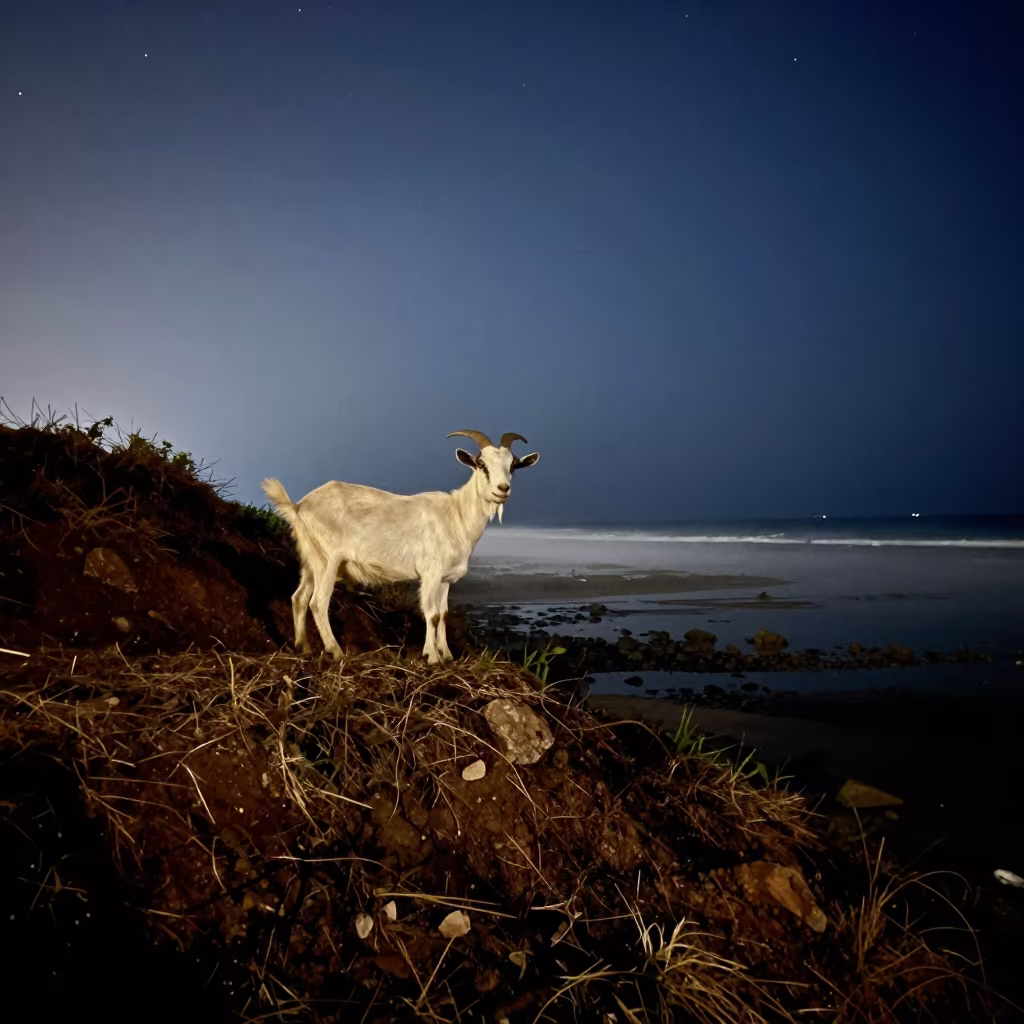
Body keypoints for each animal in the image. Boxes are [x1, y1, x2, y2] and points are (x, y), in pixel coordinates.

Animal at [261, 430, 540, 664]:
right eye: (482, 465)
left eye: (513, 466)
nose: (502, 489)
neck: (456, 516)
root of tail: (299, 507)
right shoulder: (430, 573)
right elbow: (431, 614)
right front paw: (432, 657)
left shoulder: (445, 579)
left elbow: (444, 613)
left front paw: (447, 655)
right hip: (328, 560)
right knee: (318, 603)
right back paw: (336, 651)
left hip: (312, 560)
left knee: (299, 597)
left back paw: (304, 647)